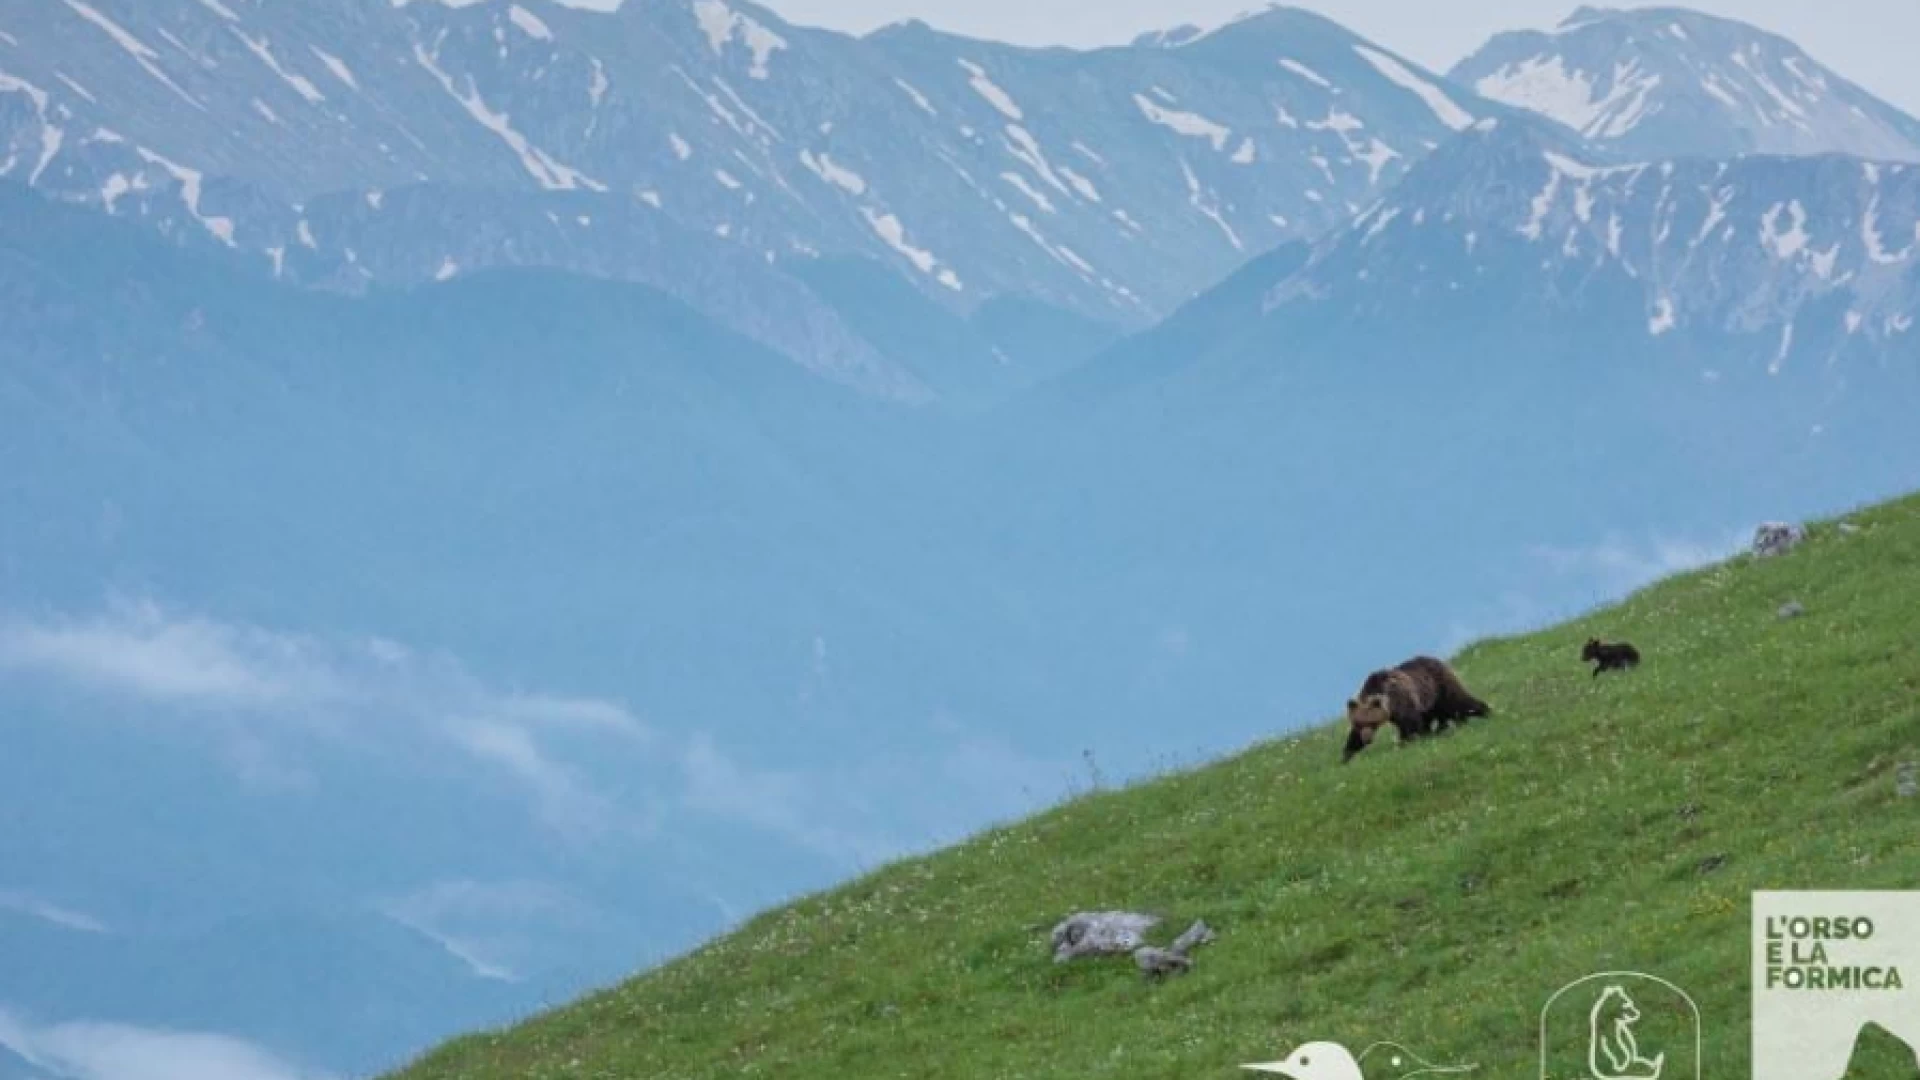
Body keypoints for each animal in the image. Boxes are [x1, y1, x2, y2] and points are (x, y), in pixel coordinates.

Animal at [1344, 653, 1489, 760]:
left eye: (1372, 722)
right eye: (1359, 723)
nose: (1366, 738)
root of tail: (1436, 659)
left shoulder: (1401, 700)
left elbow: (1409, 723)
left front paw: (1405, 742)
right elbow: (1353, 737)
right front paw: (1347, 754)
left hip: (1440, 687)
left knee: (1458, 702)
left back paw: (1485, 711)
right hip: (1430, 701)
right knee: (1438, 715)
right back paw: (1440, 729)